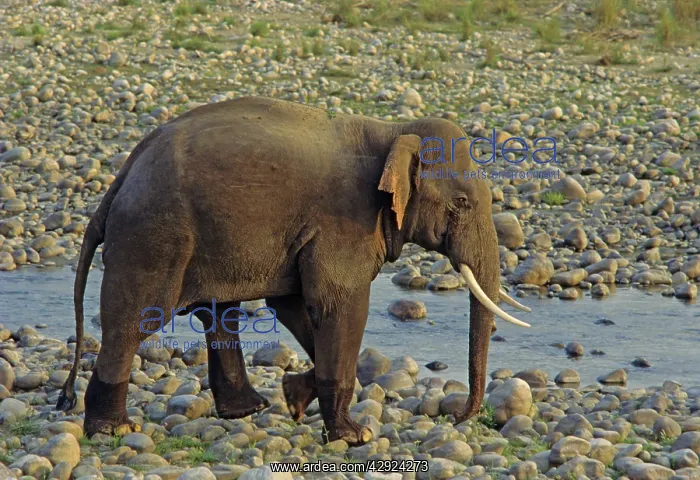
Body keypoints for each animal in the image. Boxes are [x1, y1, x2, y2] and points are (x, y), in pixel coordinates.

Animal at [57, 96, 531, 445]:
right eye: (462, 203)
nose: (458, 420)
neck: (394, 130)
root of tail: (121, 177)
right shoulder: (345, 222)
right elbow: (339, 303)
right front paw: (355, 437)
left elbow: (294, 304)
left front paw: (294, 398)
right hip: (156, 235)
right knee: (135, 319)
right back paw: (115, 429)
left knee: (218, 312)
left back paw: (247, 410)